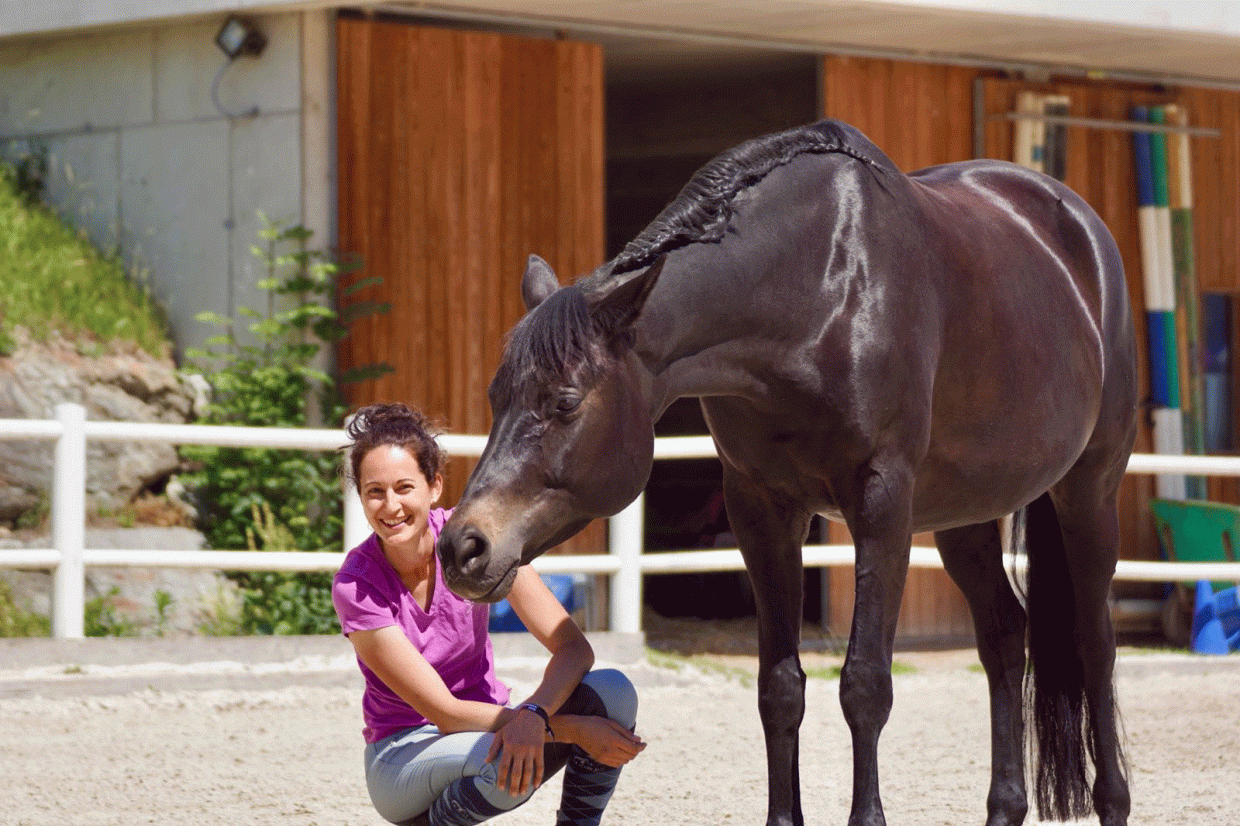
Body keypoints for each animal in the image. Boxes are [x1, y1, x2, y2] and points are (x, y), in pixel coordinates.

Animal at [441, 117, 1135, 823]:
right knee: (1002, 636)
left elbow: (865, 685)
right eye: (497, 395)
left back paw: (1113, 800)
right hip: (962, 514)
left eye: (565, 402)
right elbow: (779, 689)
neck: (819, 294)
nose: (462, 547)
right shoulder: (762, 508)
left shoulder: (881, 503)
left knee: (1095, 643)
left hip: (1088, 490)